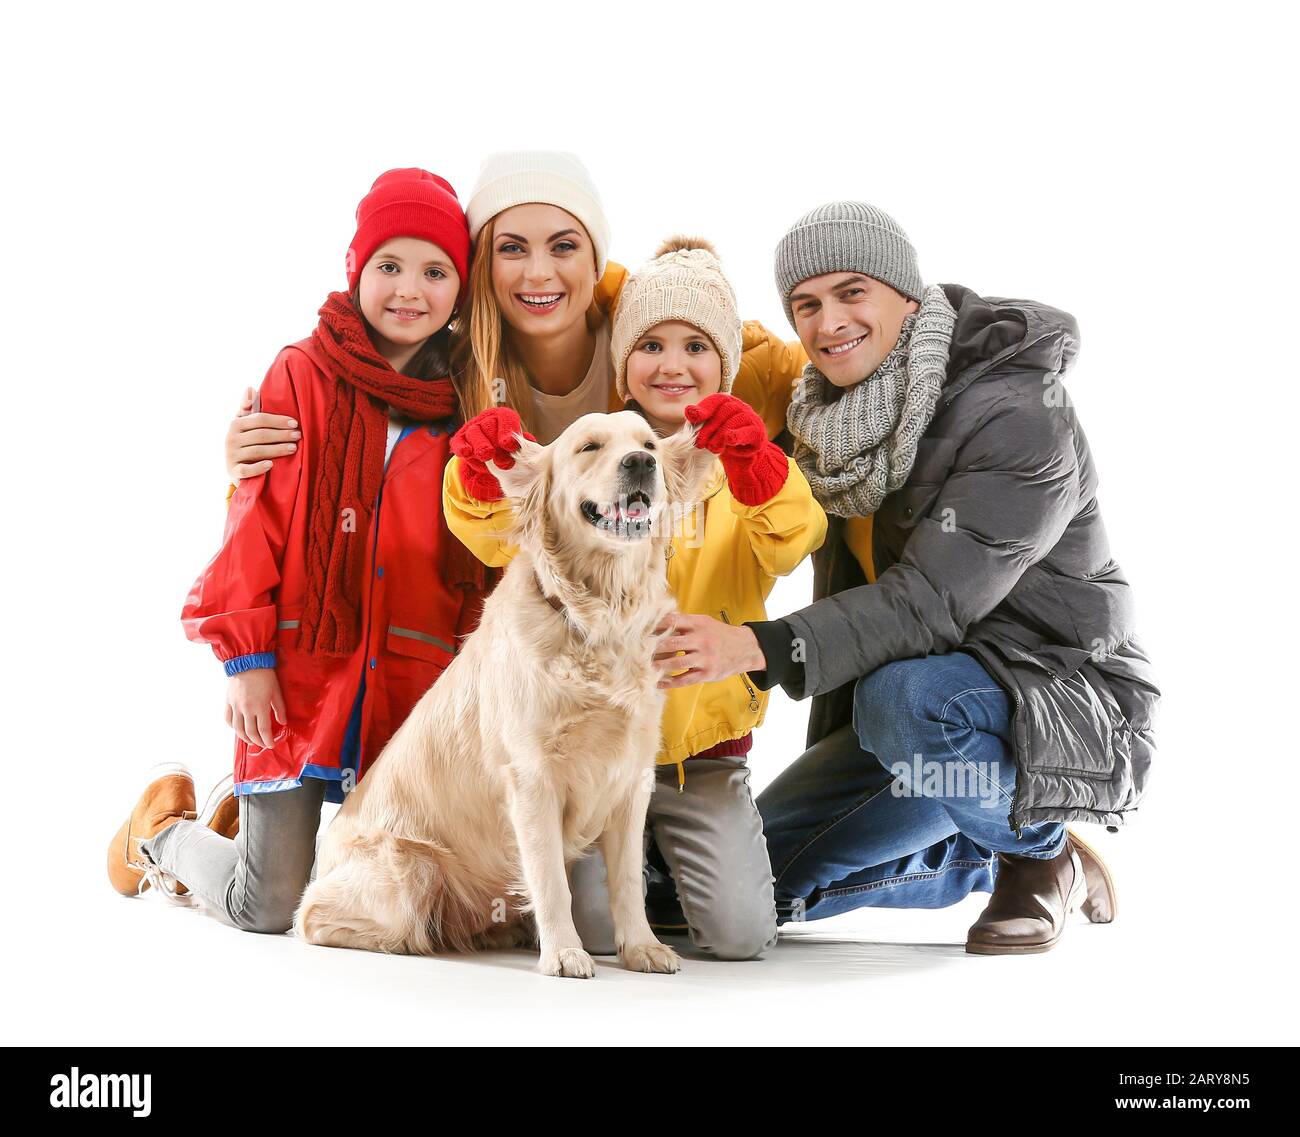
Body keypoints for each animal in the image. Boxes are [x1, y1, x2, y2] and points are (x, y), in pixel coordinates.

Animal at [295, 408, 717, 977]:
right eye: (589, 447)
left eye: (648, 444)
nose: (640, 464)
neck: (596, 617)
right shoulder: (532, 777)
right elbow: (551, 881)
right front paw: (564, 952)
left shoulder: (631, 779)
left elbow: (629, 881)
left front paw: (642, 947)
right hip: (411, 867)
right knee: (313, 916)